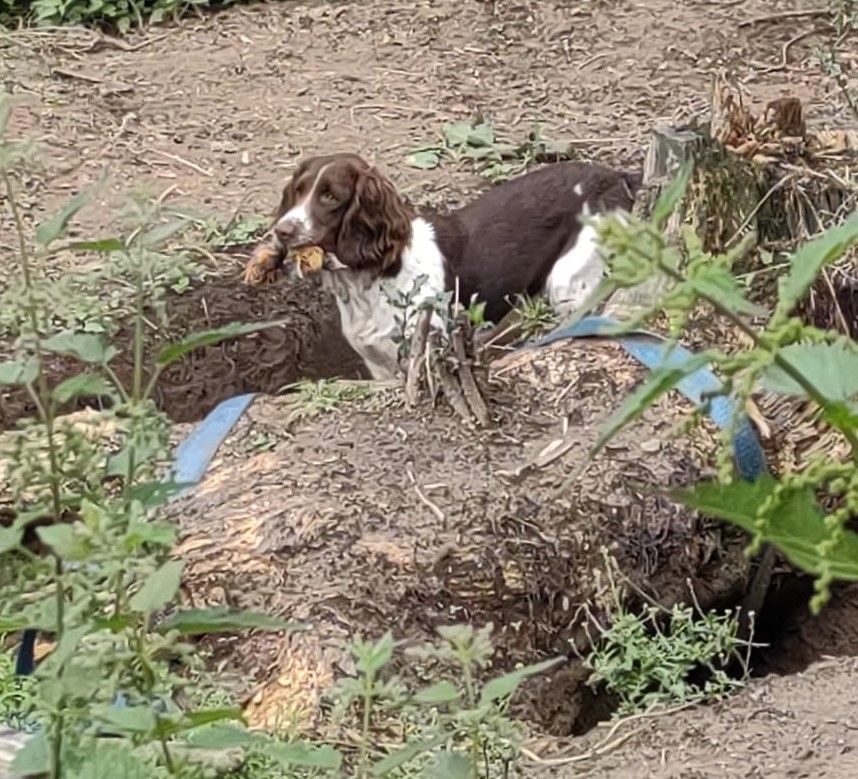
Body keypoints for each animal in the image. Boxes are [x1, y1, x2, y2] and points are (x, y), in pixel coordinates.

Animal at [260, 153, 640, 380]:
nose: (282, 230)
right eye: (298, 191)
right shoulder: (379, 368)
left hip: (569, 280)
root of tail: (616, 176)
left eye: (330, 197)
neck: (373, 278)